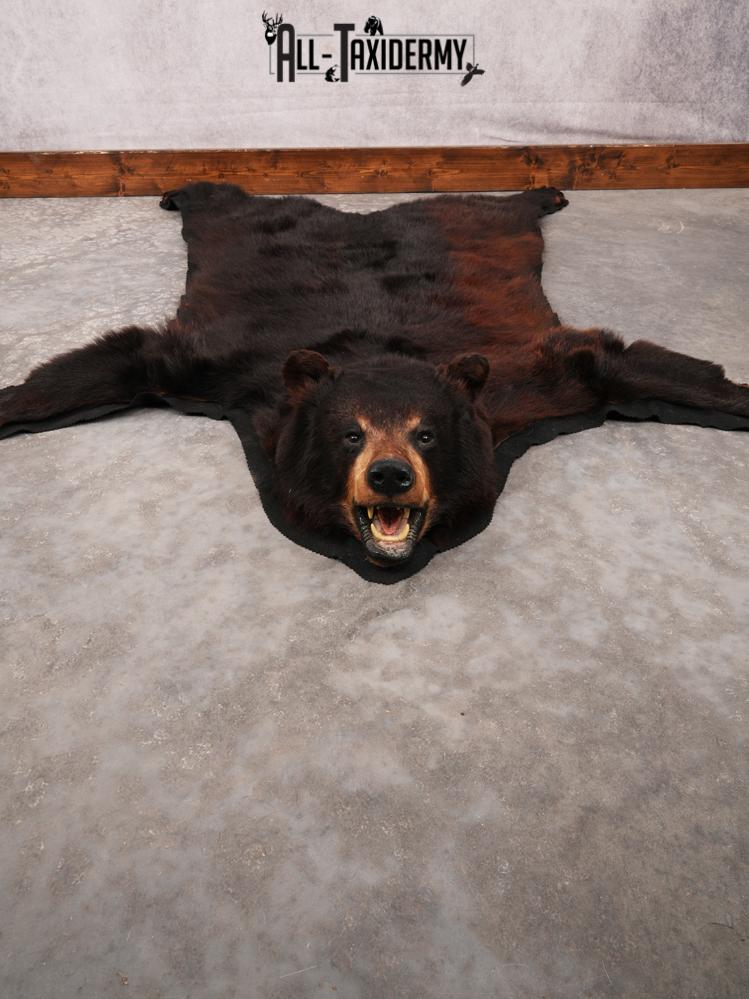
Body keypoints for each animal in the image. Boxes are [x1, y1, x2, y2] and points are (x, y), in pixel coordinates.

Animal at [1, 182, 748, 580]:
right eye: (349, 434)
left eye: (427, 433)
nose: (391, 475)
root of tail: (370, 212)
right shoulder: (230, 371)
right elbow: (134, 354)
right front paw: (12, 402)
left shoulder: (518, 382)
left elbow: (605, 361)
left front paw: (734, 394)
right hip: (248, 229)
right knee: (227, 203)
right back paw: (180, 189)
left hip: (471, 220)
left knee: (498, 206)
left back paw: (545, 189)